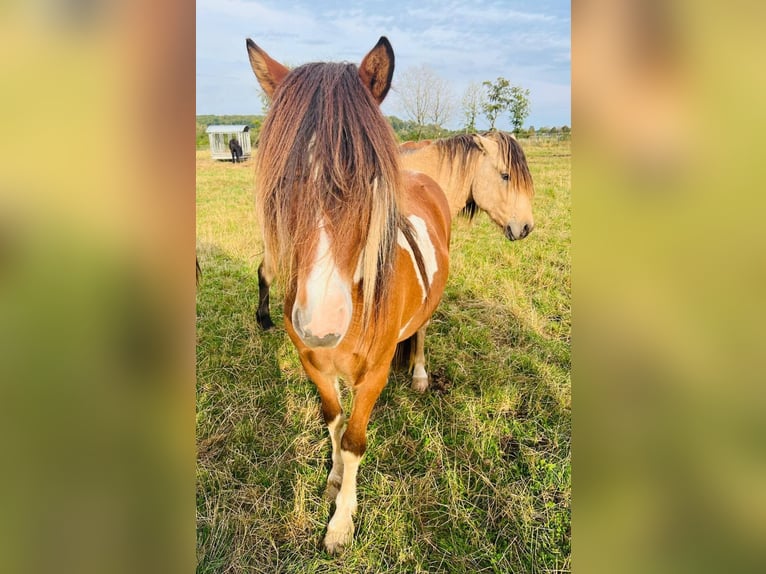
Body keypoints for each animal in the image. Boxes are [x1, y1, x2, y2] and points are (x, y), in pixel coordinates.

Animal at [246, 36, 451, 553]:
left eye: (366, 178)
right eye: (281, 178)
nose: (320, 325)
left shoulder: (373, 375)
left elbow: (356, 441)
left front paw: (341, 522)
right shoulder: (315, 366)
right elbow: (334, 423)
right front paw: (335, 482)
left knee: (423, 331)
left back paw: (420, 374)